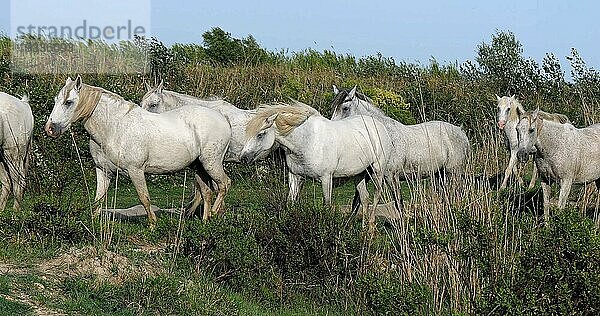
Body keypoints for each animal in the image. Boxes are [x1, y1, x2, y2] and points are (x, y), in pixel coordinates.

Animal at [44, 75, 232, 226]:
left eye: (68, 102)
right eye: (55, 100)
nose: (50, 129)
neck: (115, 127)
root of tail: (223, 119)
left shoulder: (136, 171)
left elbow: (144, 198)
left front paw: (152, 225)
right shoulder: (103, 171)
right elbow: (98, 199)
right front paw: (93, 223)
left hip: (211, 163)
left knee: (224, 184)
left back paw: (214, 213)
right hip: (198, 167)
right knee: (206, 192)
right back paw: (206, 221)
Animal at [241, 102, 392, 228]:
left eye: (260, 134)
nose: (243, 157)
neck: (307, 141)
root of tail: (379, 125)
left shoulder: (326, 179)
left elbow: (327, 205)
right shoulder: (294, 176)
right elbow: (290, 202)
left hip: (377, 171)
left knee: (376, 195)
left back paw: (370, 227)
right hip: (359, 174)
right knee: (365, 198)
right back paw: (364, 230)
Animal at [330, 85, 472, 207]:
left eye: (345, 108)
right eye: (333, 107)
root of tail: (460, 131)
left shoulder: (391, 176)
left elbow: (398, 202)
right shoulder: (367, 176)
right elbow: (356, 203)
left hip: (453, 172)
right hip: (440, 174)